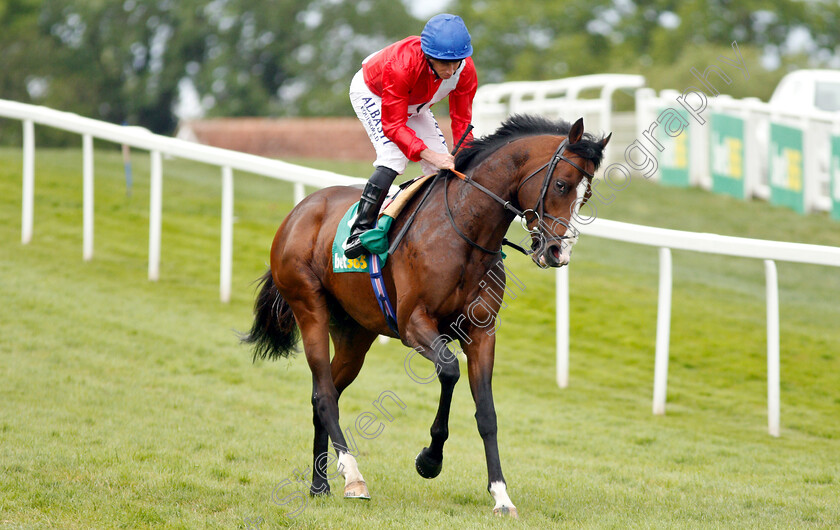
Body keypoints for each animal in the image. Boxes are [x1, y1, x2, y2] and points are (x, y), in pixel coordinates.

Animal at [243, 114, 612, 516]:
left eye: (586, 196)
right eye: (561, 184)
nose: (558, 252)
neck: (464, 230)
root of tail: (300, 210)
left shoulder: (482, 332)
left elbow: (487, 413)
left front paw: (501, 495)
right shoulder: (413, 324)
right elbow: (449, 371)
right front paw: (429, 460)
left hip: (355, 333)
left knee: (323, 396)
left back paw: (320, 483)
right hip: (309, 307)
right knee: (324, 393)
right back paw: (353, 477)